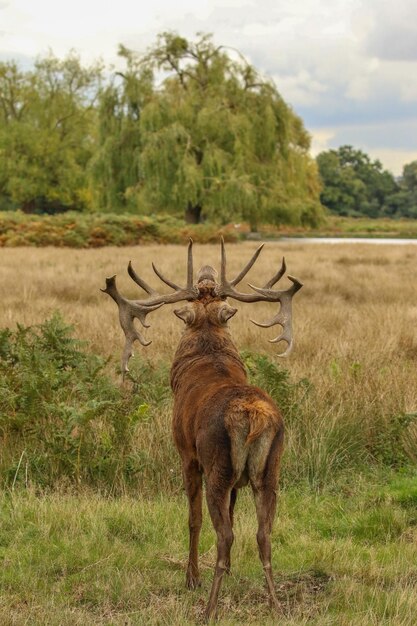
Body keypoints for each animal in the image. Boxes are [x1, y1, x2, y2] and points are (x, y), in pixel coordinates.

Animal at [102, 239, 300, 620]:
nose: (207, 272)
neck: (208, 358)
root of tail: (251, 415)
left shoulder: (187, 454)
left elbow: (192, 518)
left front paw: (190, 576)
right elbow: (235, 516)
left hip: (217, 466)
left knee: (223, 535)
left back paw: (208, 608)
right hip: (270, 469)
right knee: (263, 535)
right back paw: (276, 605)